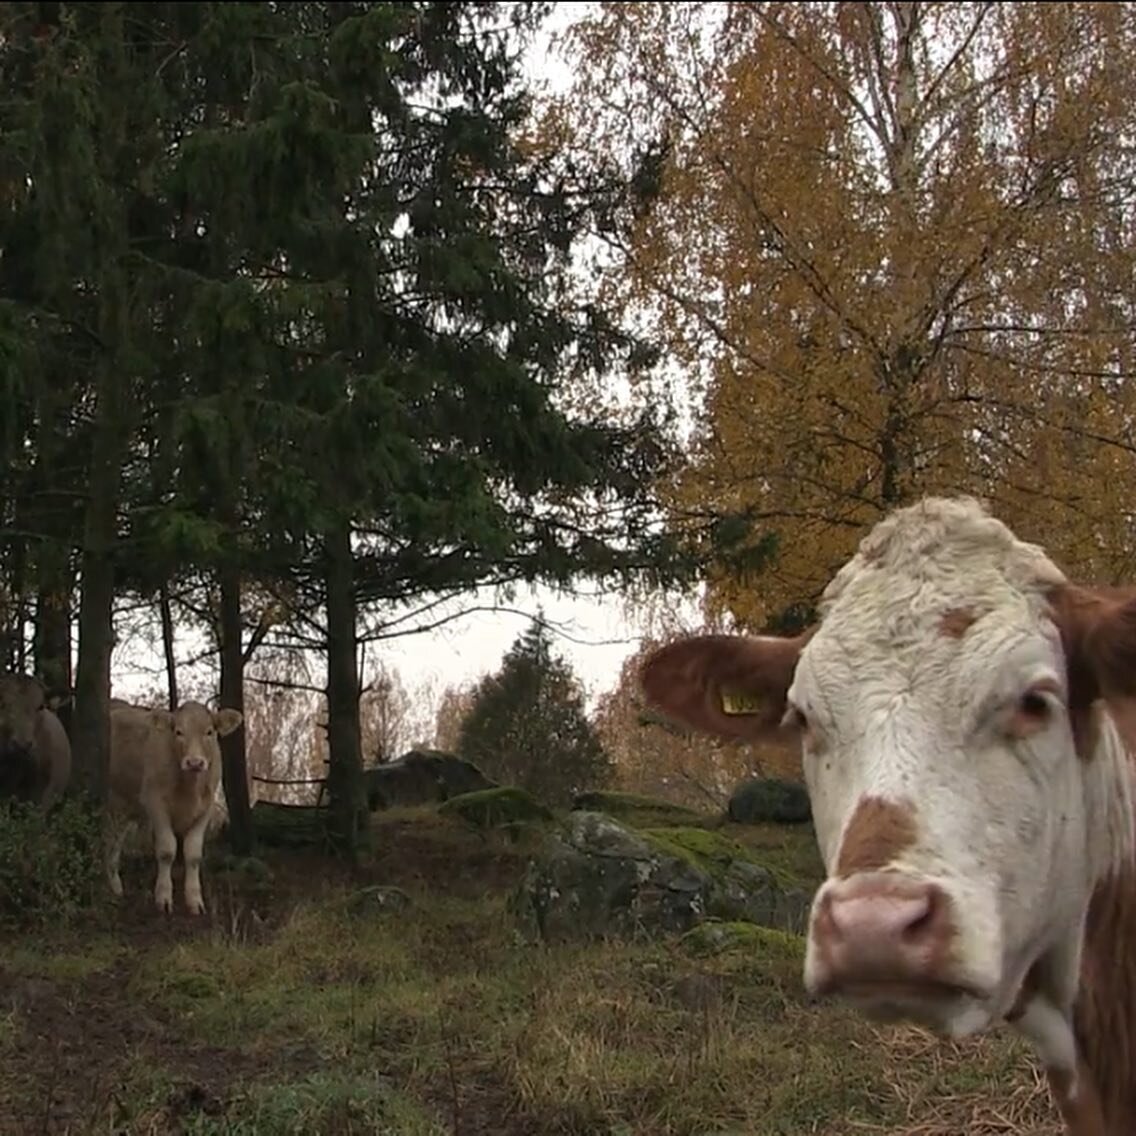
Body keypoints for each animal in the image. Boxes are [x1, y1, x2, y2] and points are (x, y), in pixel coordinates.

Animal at [106, 695, 241, 917]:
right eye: (178, 732)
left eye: (209, 732)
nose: (195, 762)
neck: (189, 788)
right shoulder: (156, 804)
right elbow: (167, 850)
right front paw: (163, 898)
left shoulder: (205, 809)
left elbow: (193, 854)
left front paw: (195, 901)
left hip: (126, 805)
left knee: (116, 838)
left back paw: (116, 886)